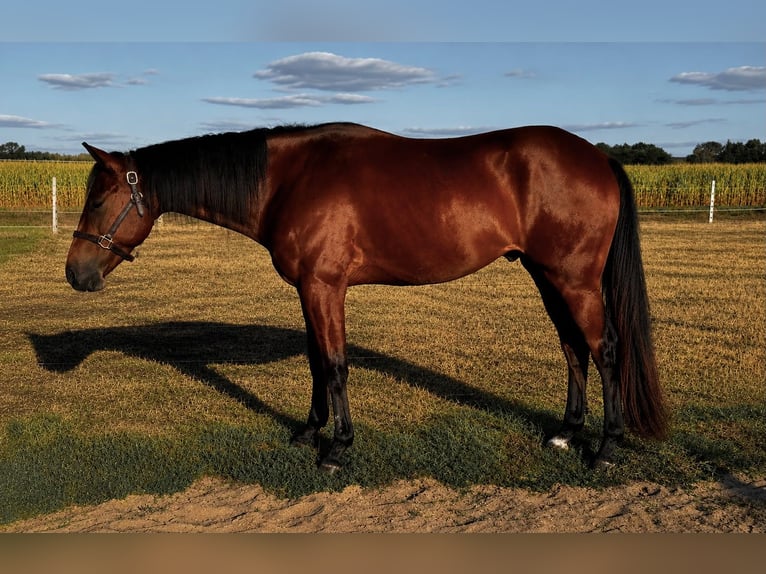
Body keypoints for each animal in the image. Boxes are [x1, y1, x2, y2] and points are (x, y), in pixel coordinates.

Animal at [65, 122, 667, 472]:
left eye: (97, 200)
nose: (75, 273)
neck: (288, 179)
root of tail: (598, 158)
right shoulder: (310, 289)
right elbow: (315, 361)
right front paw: (308, 432)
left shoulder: (324, 286)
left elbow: (334, 365)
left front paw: (338, 448)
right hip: (547, 275)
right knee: (572, 347)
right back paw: (566, 434)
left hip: (575, 280)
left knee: (605, 349)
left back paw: (605, 449)